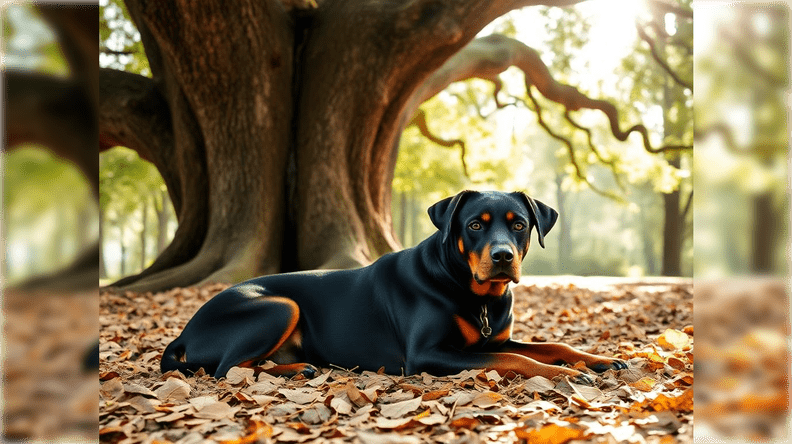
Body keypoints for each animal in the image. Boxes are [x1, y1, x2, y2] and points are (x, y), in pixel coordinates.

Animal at [161, 191, 624, 386]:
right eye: (475, 225)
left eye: (520, 224)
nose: (502, 257)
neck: (473, 293)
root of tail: (185, 332)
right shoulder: (428, 354)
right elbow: (516, 359)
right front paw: (566, 374)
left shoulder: (492, 338)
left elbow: (550, 346)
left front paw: (599, 360)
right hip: (279, 305)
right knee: (227, 368)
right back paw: (296, 369)